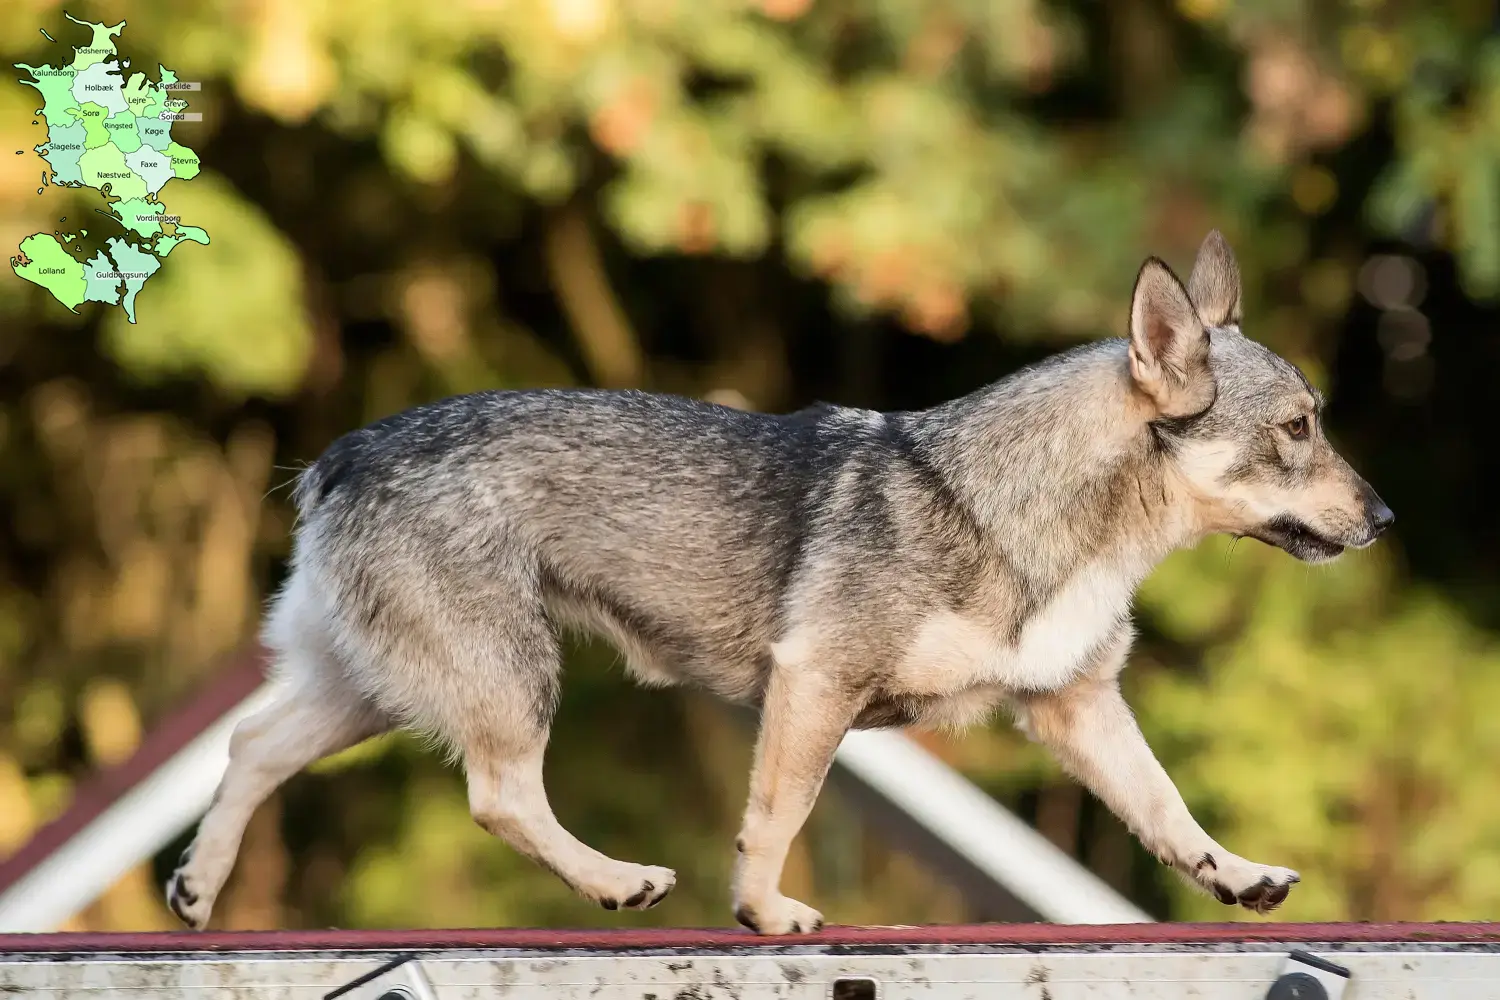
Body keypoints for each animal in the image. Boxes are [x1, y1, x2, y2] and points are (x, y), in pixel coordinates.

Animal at [167, 230, 1392, 935]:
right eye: (1299, 429)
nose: (1385, 518)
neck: (1031, 513)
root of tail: (340, 456)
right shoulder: (815, 688)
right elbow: (776, 816)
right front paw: (762, 913)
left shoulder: (1078, 708)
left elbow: (1167, 808)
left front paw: (1234, 877)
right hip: (508, 677)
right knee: (500, 796)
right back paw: (615, 882)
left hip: (375, 689)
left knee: (253, 747)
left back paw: (195, 888)